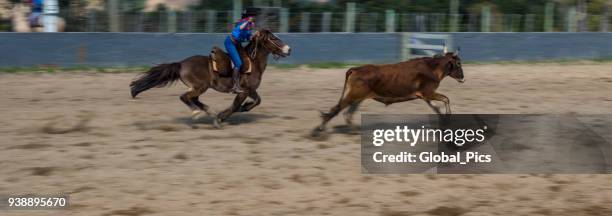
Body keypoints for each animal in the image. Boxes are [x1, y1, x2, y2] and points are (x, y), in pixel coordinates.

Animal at [130, 30, 292, 128]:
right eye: (273, 38)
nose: (289, 49)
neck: (253, 62)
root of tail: (181, 63)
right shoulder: (243, 91)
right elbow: (235, 106)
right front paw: (220, 118)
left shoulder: (251, 90)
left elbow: (257, 101)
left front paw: (244, 108)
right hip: (199, 87)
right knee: (185, 97)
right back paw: (197, 113)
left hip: (200, 87)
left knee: (193, 99)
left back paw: (208, 110)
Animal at [316, 46, 464, 132]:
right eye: (458, 63)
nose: (463, 78)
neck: (432, 68)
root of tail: (355, 69)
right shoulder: (428, 93)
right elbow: (446, 99)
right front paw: (448, 118)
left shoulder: (425, 96)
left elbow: (436, 107)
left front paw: (444, 121)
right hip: (353, 95)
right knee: (336, 109)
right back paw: (319, 129)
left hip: (358, 97)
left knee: (347, 114)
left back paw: (355, 130)